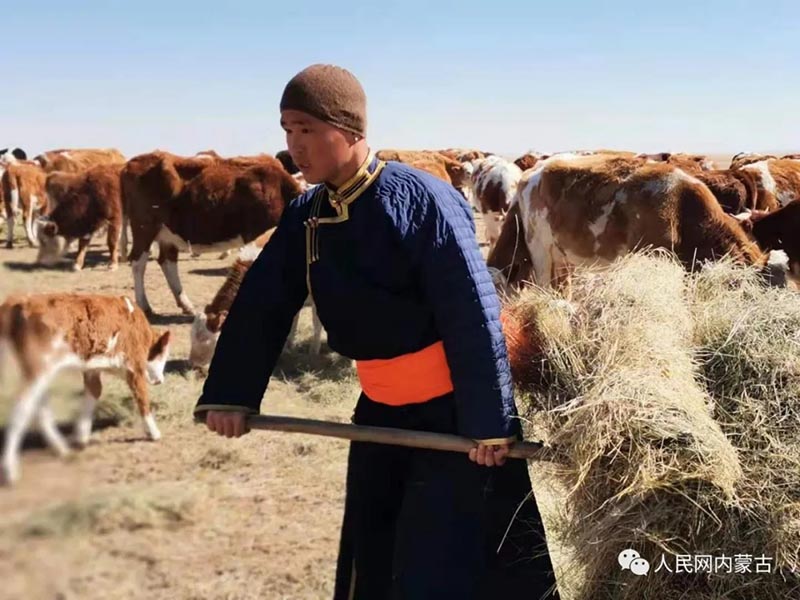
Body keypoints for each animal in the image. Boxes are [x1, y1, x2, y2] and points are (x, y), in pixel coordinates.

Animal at [0, 292, 170, 486]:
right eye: (164, 356)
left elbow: (94, 392)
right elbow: (142, 399)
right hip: (38, 370)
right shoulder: (135, 368)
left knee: (39, 407)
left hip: (38, 374)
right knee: (21, 409)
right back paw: (10, 470)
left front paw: (81, 437)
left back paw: (61, 449)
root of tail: (19, 300)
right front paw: (154, 433)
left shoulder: (92, 370)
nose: (161, 380)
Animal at [123, 152, 302, 316]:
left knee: (167, 261)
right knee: (138, 262)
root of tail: (132, 162)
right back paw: (144, 305)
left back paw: (185, 304)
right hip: (144, 227)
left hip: (168, 234)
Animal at [189, 230, 324, 370]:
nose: (193, 364)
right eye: (191, 335)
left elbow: (316, 323)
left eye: (205, 338)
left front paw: (313, 351)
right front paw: (288, 346)